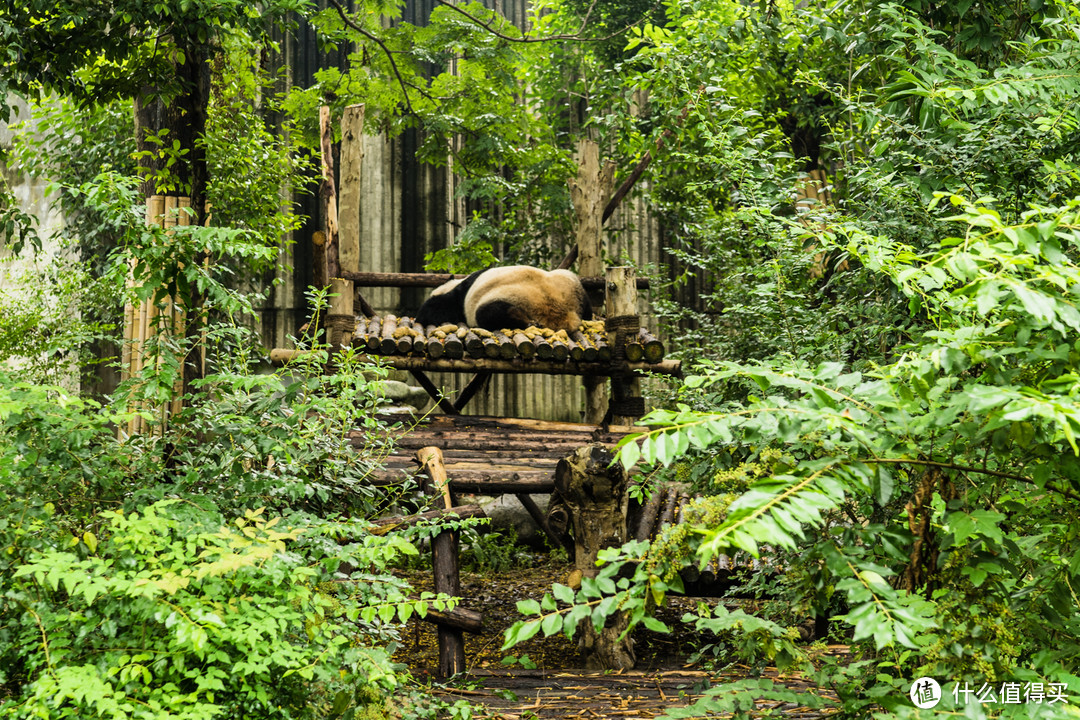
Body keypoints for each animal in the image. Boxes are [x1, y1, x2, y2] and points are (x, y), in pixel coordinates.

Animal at [412, 264, 596, 332]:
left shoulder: (454, 300)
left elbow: (434, 311)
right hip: (570, 284)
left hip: (510, 297)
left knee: (489, 313)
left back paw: (526, 322)